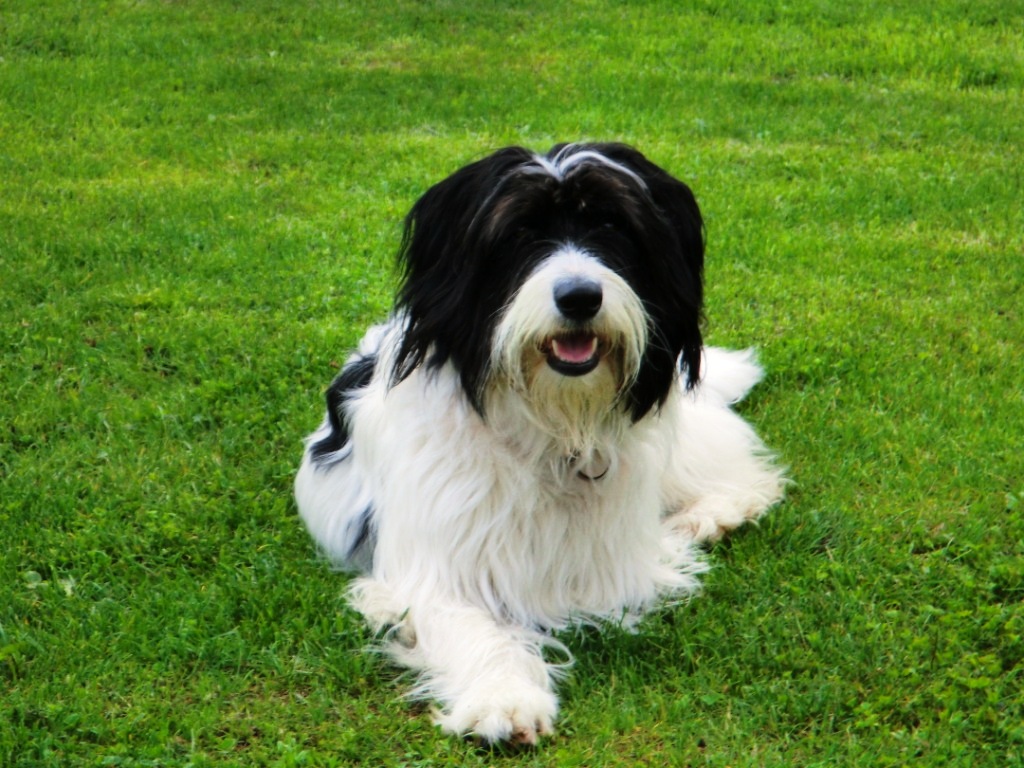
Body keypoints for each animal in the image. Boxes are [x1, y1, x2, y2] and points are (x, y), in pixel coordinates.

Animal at [294, 144, 782, 745]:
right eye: (520, 232)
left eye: (612, 225)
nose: (580, 296)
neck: (549, 426)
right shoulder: (433, 566)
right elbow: (468, 621)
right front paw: (503, 695)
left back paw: (713, 514)